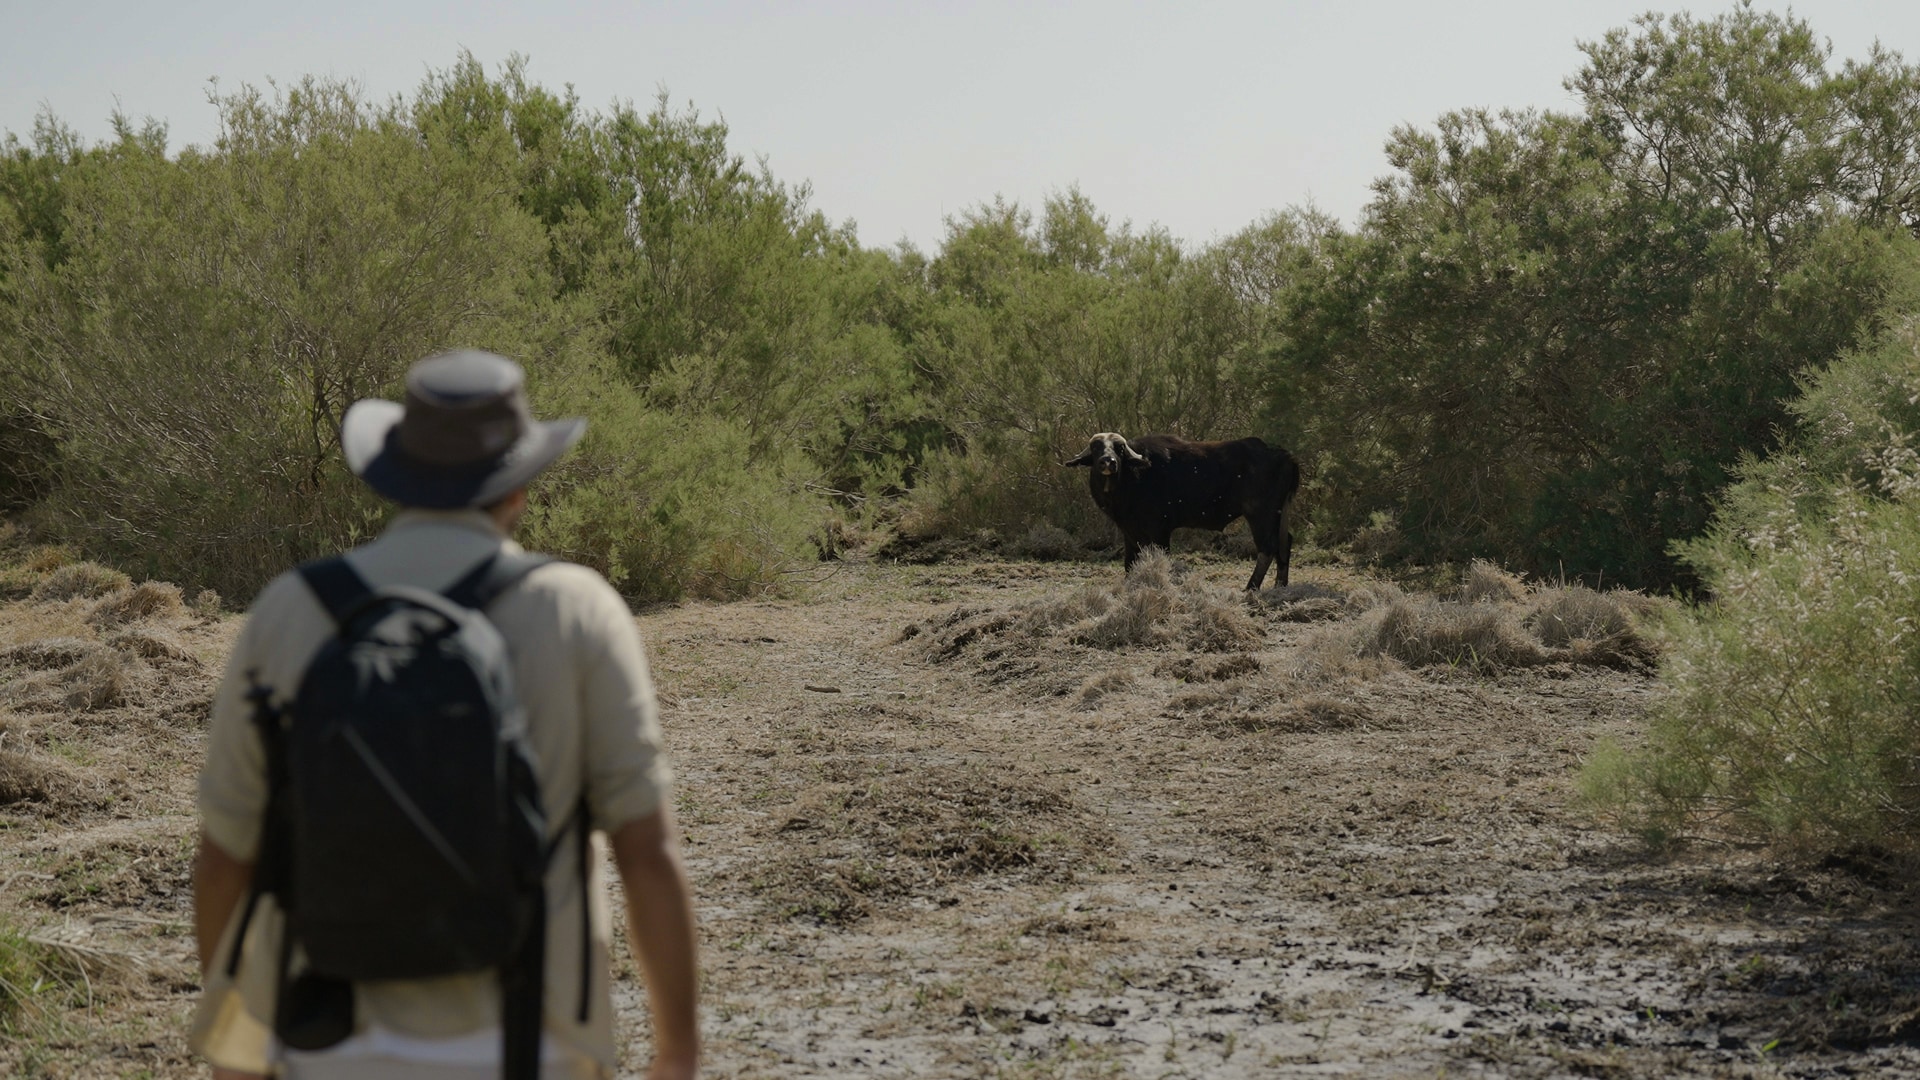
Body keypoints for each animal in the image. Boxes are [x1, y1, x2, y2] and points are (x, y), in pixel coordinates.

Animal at [1064, 432, 1301, 590]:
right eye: (1096, 449)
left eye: (1119, 449)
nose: (1108, 462)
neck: (1134, 477)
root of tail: (1284, 454)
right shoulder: (1129, 532)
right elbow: (1130, 562)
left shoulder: (1159, 531)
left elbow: (1160, 559)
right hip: (1279, 513)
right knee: (1284, 542)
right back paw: (1280, 585)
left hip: (1260, 514)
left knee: (1268, 547)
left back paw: (1251, 587)